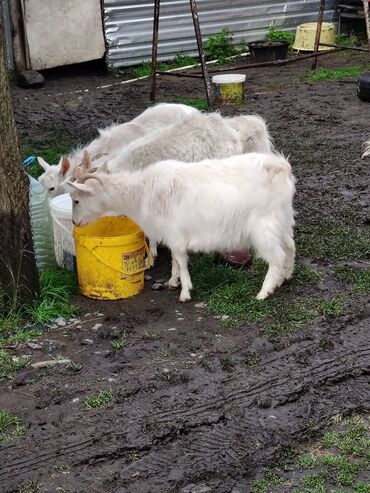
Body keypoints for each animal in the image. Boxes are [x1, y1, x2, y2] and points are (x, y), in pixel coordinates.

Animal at [65, 152, 294, 302]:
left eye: (76, 200)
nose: (75, 222)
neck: (143, 192)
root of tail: (281, 167)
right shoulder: (171, 234)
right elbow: (175, 260)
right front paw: (173, 281)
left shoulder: (175, 234)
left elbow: (181, 260)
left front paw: (185, 292)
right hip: (282, 221)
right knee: (290, 247)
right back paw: (285, 277)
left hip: (263, 227)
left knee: (277, 256)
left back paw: (264, 292)